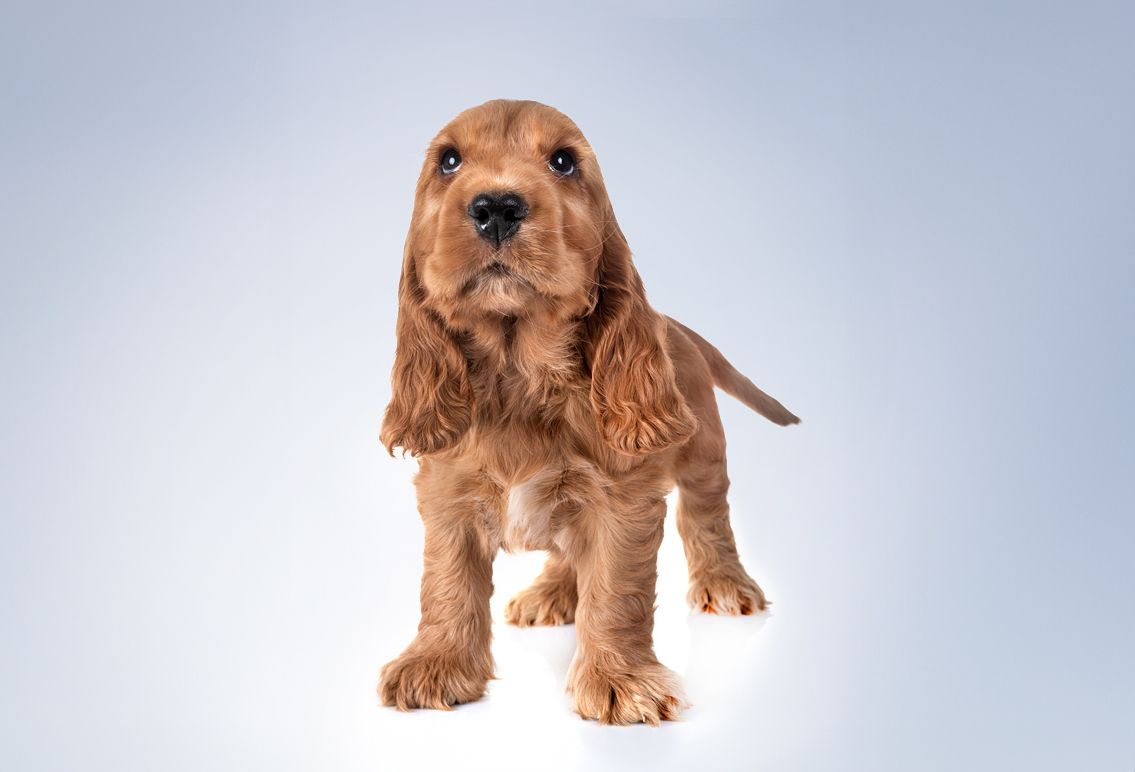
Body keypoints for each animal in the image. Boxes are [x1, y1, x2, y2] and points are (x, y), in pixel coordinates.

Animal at [376, 98, 794, 722]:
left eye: (564, 161)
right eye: (448, 161)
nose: (496, 208)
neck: (519, 376)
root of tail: (679, 329)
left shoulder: (623, 498)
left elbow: (616, 590)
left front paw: (620, 680)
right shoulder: (446, 495)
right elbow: (446, 583)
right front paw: (435, 663)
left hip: (704, 455)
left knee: (707, 517)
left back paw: (724, 583)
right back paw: (551, 593)